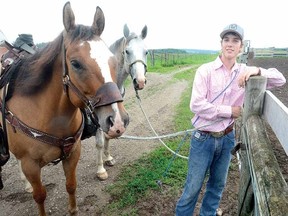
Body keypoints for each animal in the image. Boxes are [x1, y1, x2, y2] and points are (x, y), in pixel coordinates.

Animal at [0, 2, 128, 216]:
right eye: (75, 63)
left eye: (114, 61)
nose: (118, 120)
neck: (48, 115)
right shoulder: (31, 165)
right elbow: (40, 196)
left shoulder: (72, 154)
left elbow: (71, 186)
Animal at [95, 23, 147, 180]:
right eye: (127, 51)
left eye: (146, 52)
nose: (140, 82)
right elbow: (100, 142)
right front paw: (101, 170)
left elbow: (108, 137)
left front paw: (108, 158)